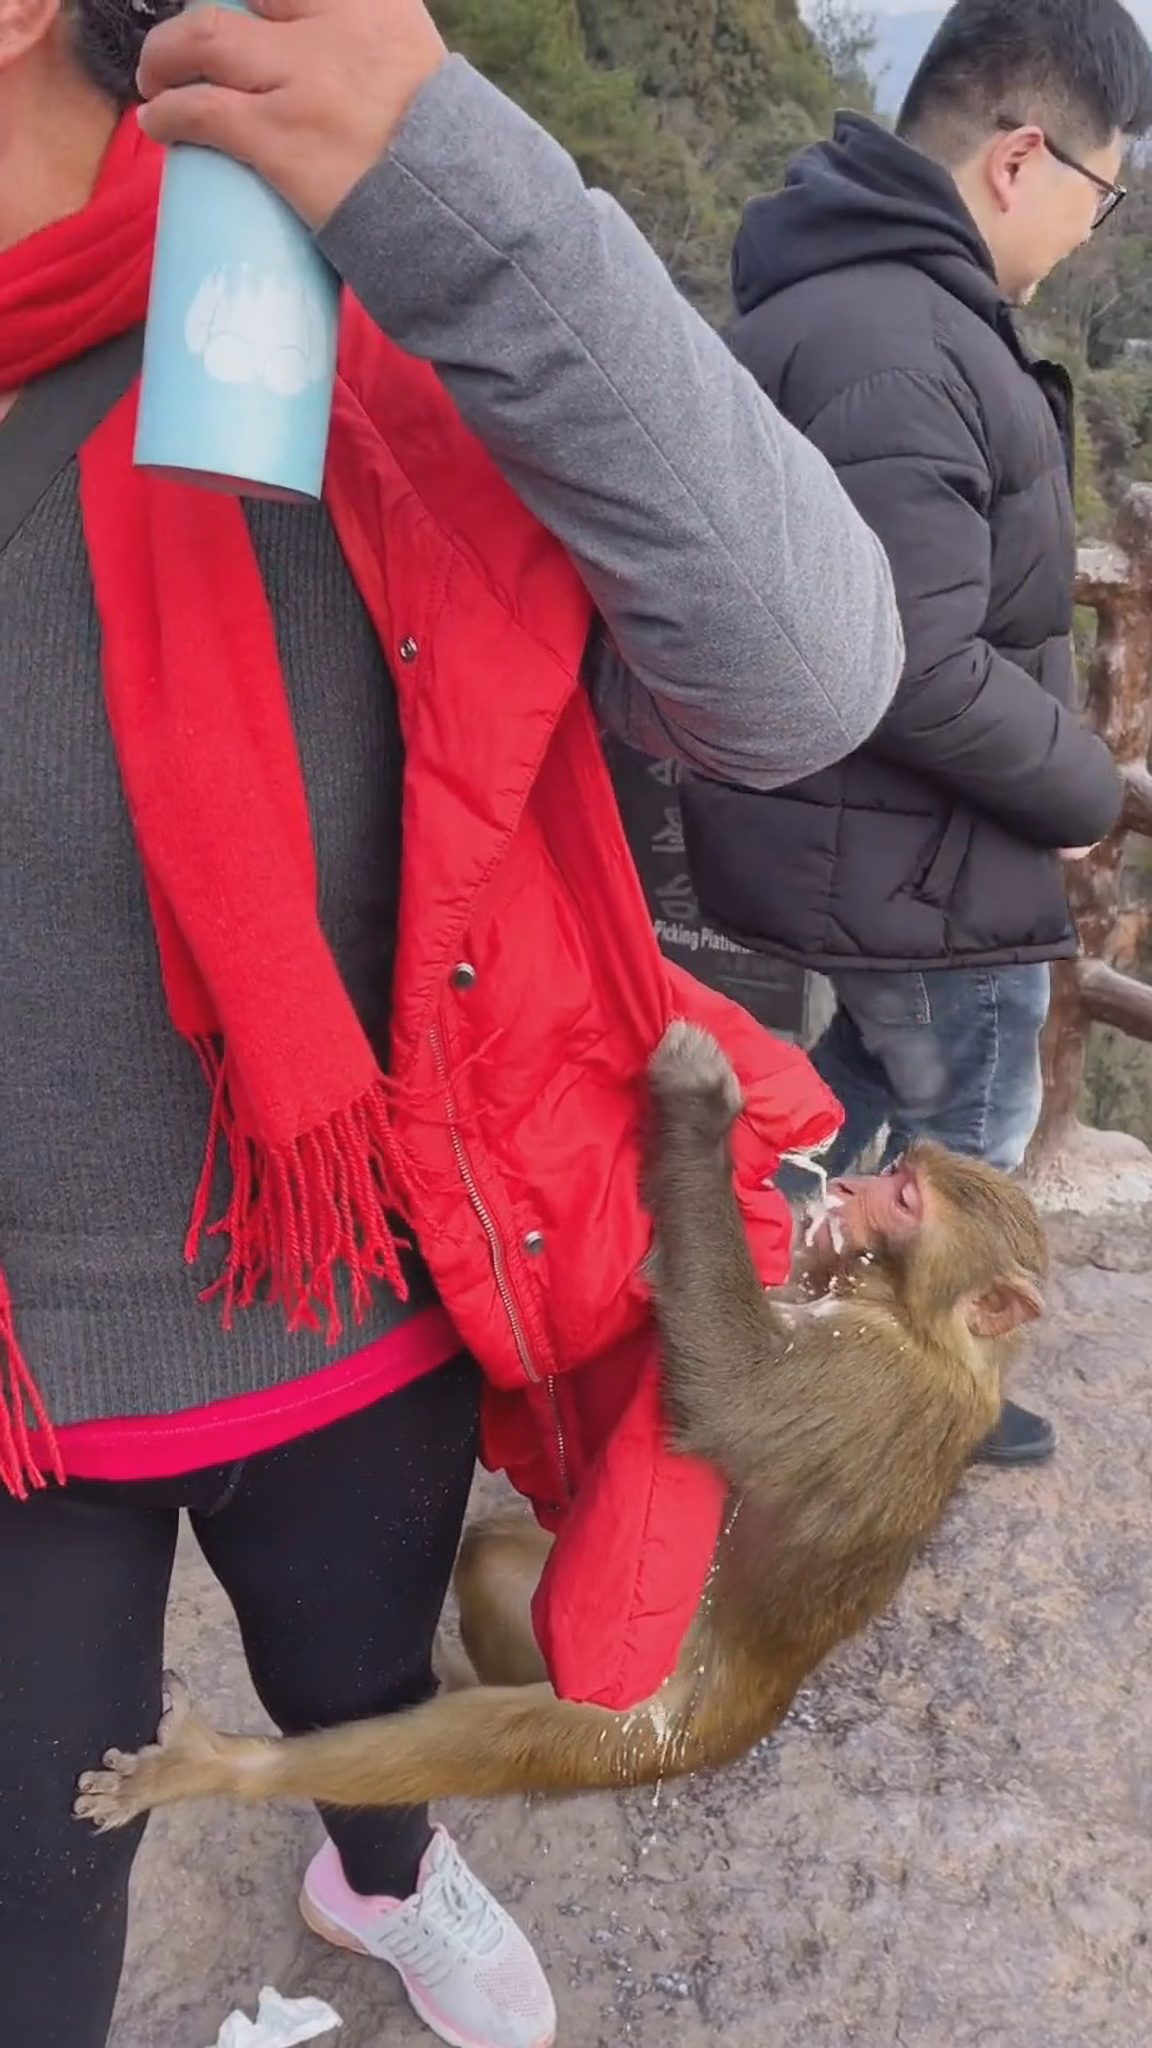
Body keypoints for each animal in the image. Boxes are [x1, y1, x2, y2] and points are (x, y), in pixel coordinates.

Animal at [69, 1015, 1041, 1835]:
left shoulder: (868, 1376)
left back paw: (221, 1769)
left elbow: (727, 1391)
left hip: (631, 1737)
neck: (926, 1325)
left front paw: (702, 1116)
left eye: (906, 1200)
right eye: (896, 1177)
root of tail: (728, 1732)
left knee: (477, 1745)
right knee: (493, 1563)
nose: (850, 1181)